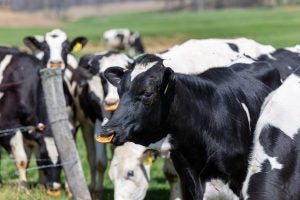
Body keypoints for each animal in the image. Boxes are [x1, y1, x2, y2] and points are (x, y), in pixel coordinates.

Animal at [0, 48, 62, 194]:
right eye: (46, 159)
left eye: (61, 162)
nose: (55, 186)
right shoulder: (9, 126)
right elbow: (22, 160)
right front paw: (23, 187)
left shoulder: (33, 132)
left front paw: (40, 186)